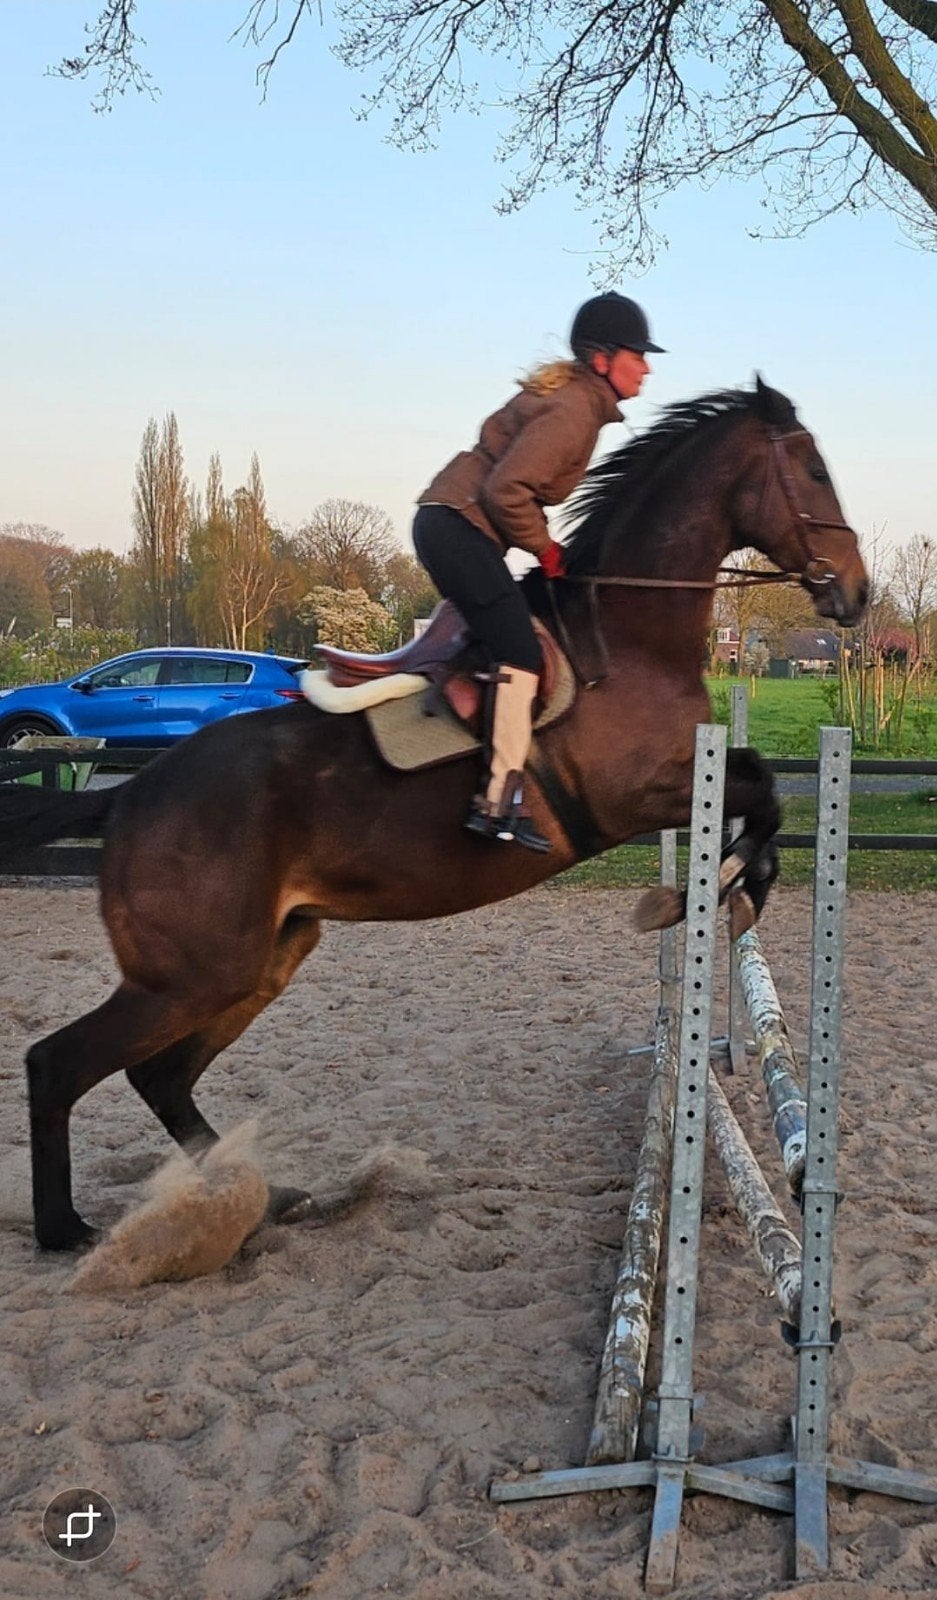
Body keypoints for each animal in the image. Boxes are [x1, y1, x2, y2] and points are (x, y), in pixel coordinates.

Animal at [0, 378, 868, 1253]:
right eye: (814, 471)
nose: (856, 591)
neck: (627, 635)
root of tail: (126, 796)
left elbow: (757, 787)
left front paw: (730, 889)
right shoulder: (632, 792)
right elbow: (758, 792)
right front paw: (708, 892)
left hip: (261, 959)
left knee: (161, 1076)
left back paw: (270, 1198)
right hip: (193, 973)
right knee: (60, 1064)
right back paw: (66, 1228)